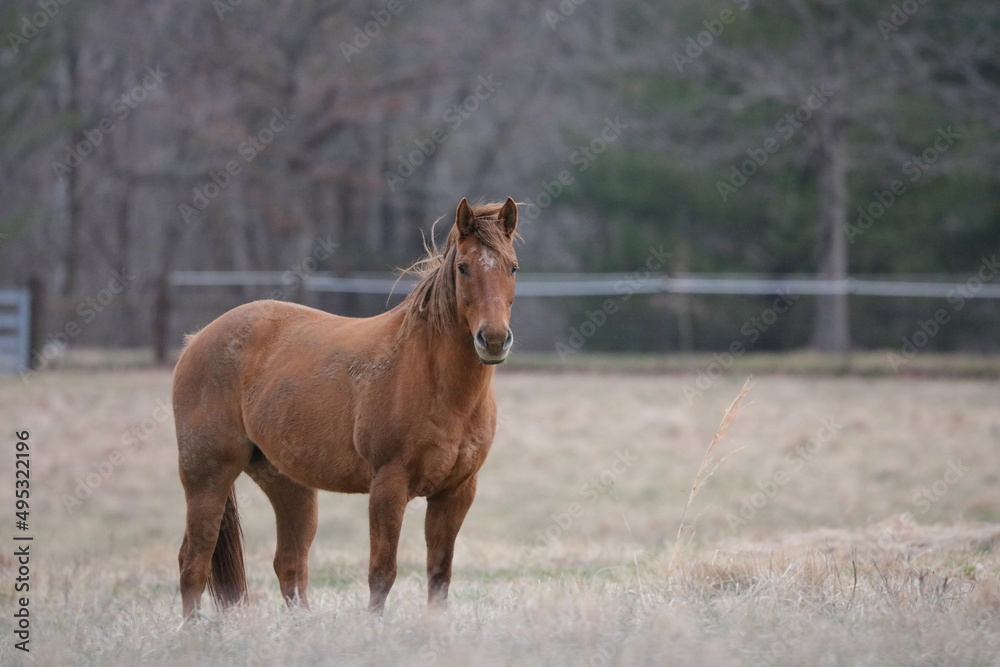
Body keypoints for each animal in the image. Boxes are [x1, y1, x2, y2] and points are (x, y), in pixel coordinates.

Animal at [173, 197, 519, 619]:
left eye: (513, 267)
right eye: (463, 267)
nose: (494, 339)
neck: (434, 379)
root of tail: (196, 341)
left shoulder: (456, 492)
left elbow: (439, 575)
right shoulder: (388, 487)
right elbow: (382, 573)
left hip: (287, 483)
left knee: (289, 564)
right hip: (207, 476)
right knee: (194, 561)